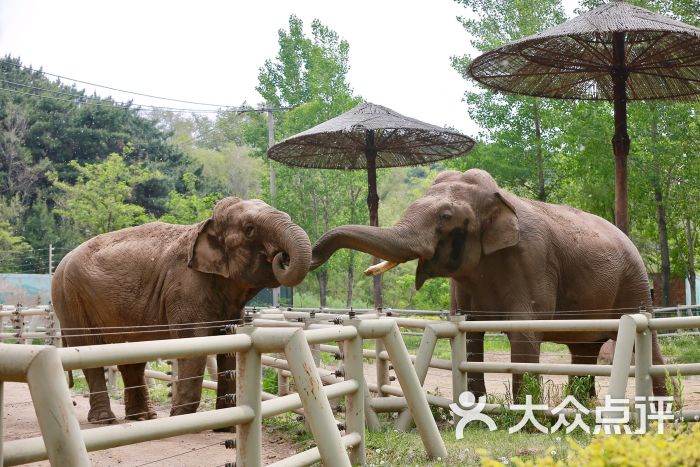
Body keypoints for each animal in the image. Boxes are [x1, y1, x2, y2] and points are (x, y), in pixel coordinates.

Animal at [52, 197, 308, 424]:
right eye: (250, 229)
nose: (281, 256)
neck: (205, 226)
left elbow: (230, 349)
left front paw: (225, 425)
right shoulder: (185, 287)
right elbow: (193, 344)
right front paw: (182, 418)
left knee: (131, 355)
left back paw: (143, 417)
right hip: (69, 298)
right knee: (88, 350)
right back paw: (105, 420)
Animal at [312, 170, 668, 400]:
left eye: (444, 217)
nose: (312, 256)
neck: (499, 199)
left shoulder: (533, 259)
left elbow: (525, 330)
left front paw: (528, 414)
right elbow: (470, 330)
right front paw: (477, 405)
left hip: (634, 282)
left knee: (645, 340)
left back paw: (660, 408)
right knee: (583, 348)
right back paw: (582, 405)